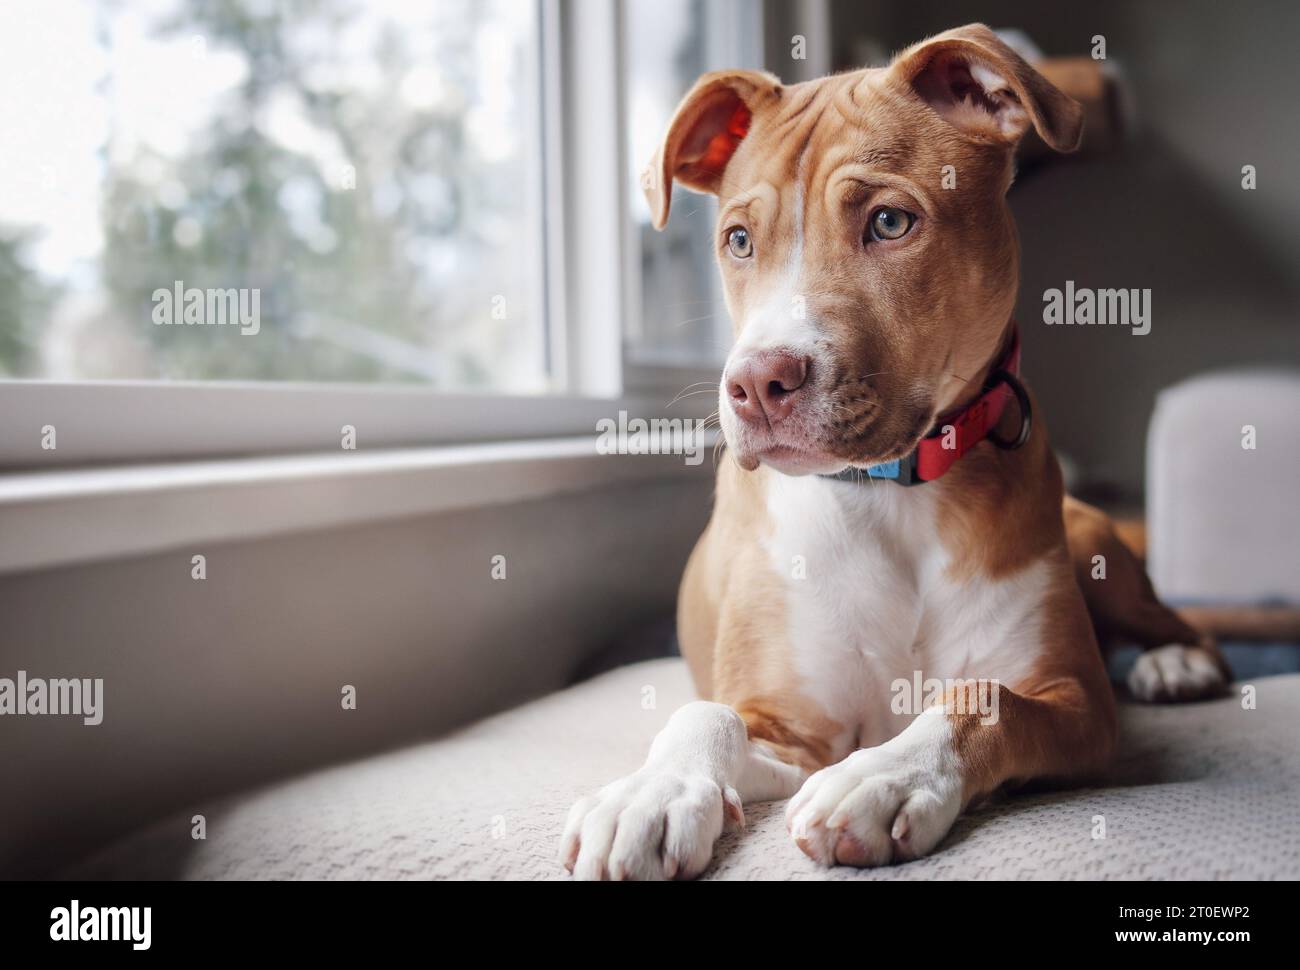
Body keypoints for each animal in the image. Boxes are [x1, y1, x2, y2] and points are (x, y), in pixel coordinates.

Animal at [559, 22, 1227, 878]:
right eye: (738, 240)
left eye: (888, 223)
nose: (756, 383)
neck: (889, 490)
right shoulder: (788, 726)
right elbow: (707, 715)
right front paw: (651, 793)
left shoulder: (1075, 701)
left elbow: (983, 699)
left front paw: (884, 778)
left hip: (1099, 551)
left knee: (1179, 624)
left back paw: (1176, 663)